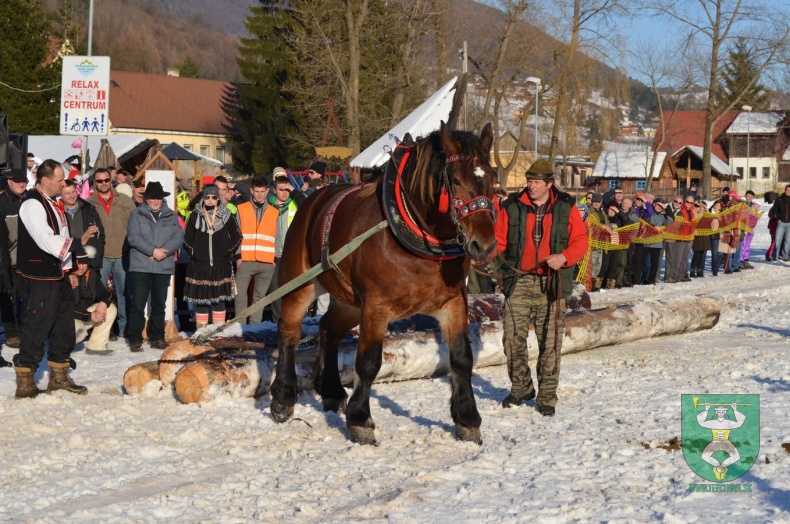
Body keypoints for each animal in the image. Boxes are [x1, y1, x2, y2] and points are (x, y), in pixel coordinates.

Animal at [270, 123, 498, 446]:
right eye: (455, 180)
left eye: (492, 179)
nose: (484, 244)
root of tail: (310, 200)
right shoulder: (377, 306)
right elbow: (368, 362)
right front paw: (360, 420)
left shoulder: (454, 302)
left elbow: (462, 358)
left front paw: (467, 419)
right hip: (300, 283)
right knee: (289, 331)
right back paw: (283, 397)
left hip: (350, 300)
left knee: (329, 328)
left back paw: (331, 390)